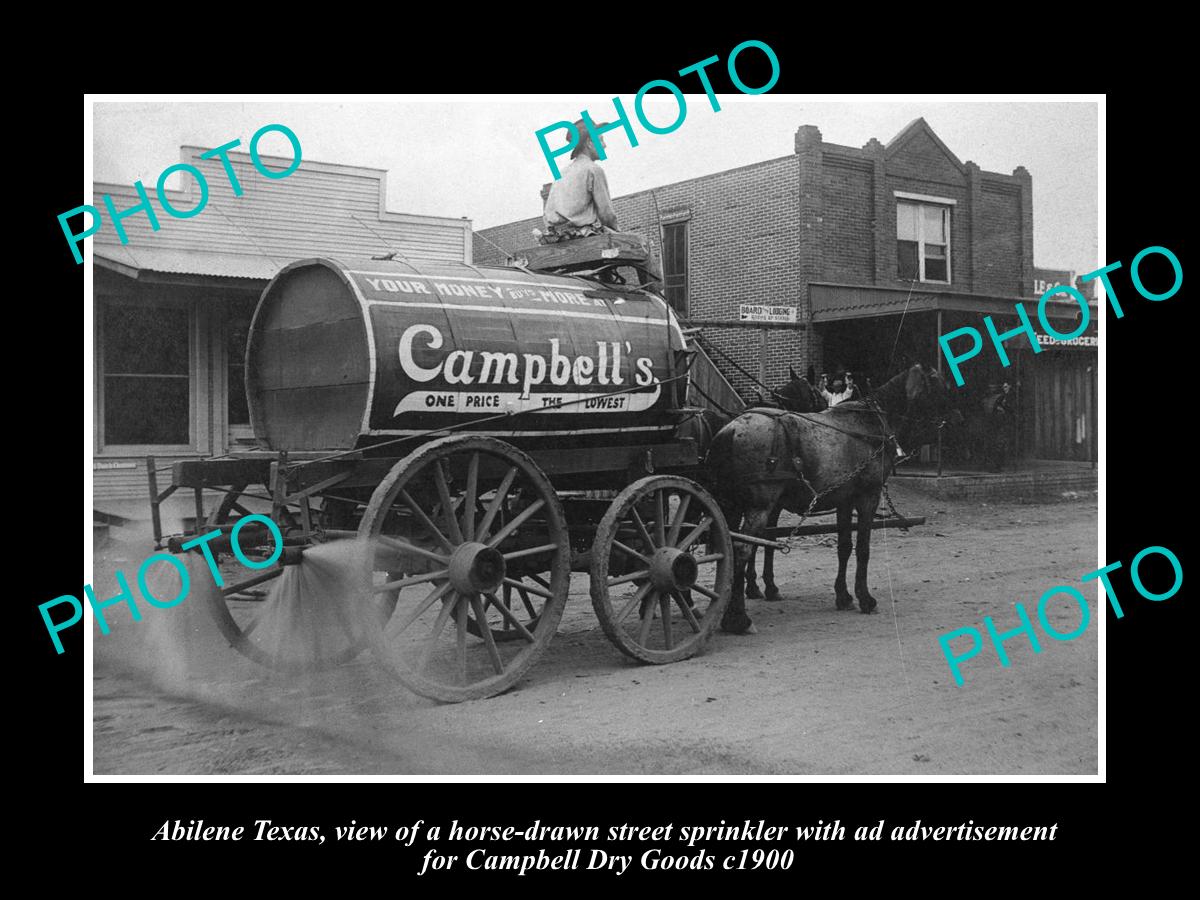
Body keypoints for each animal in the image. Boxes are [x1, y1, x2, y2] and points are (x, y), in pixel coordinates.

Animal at [705, 362, 960, 638]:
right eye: (940, 384)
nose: (959, 416)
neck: (867, 425)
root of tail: (731, 429)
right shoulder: (868, 496)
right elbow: (863, 549)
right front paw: (865, 598)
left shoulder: (844, 500)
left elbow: (844, 547)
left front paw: (844, 596)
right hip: (758, 507)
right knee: (742, 550)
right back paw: (739, 618)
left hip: (731, 507)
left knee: (729, 550)